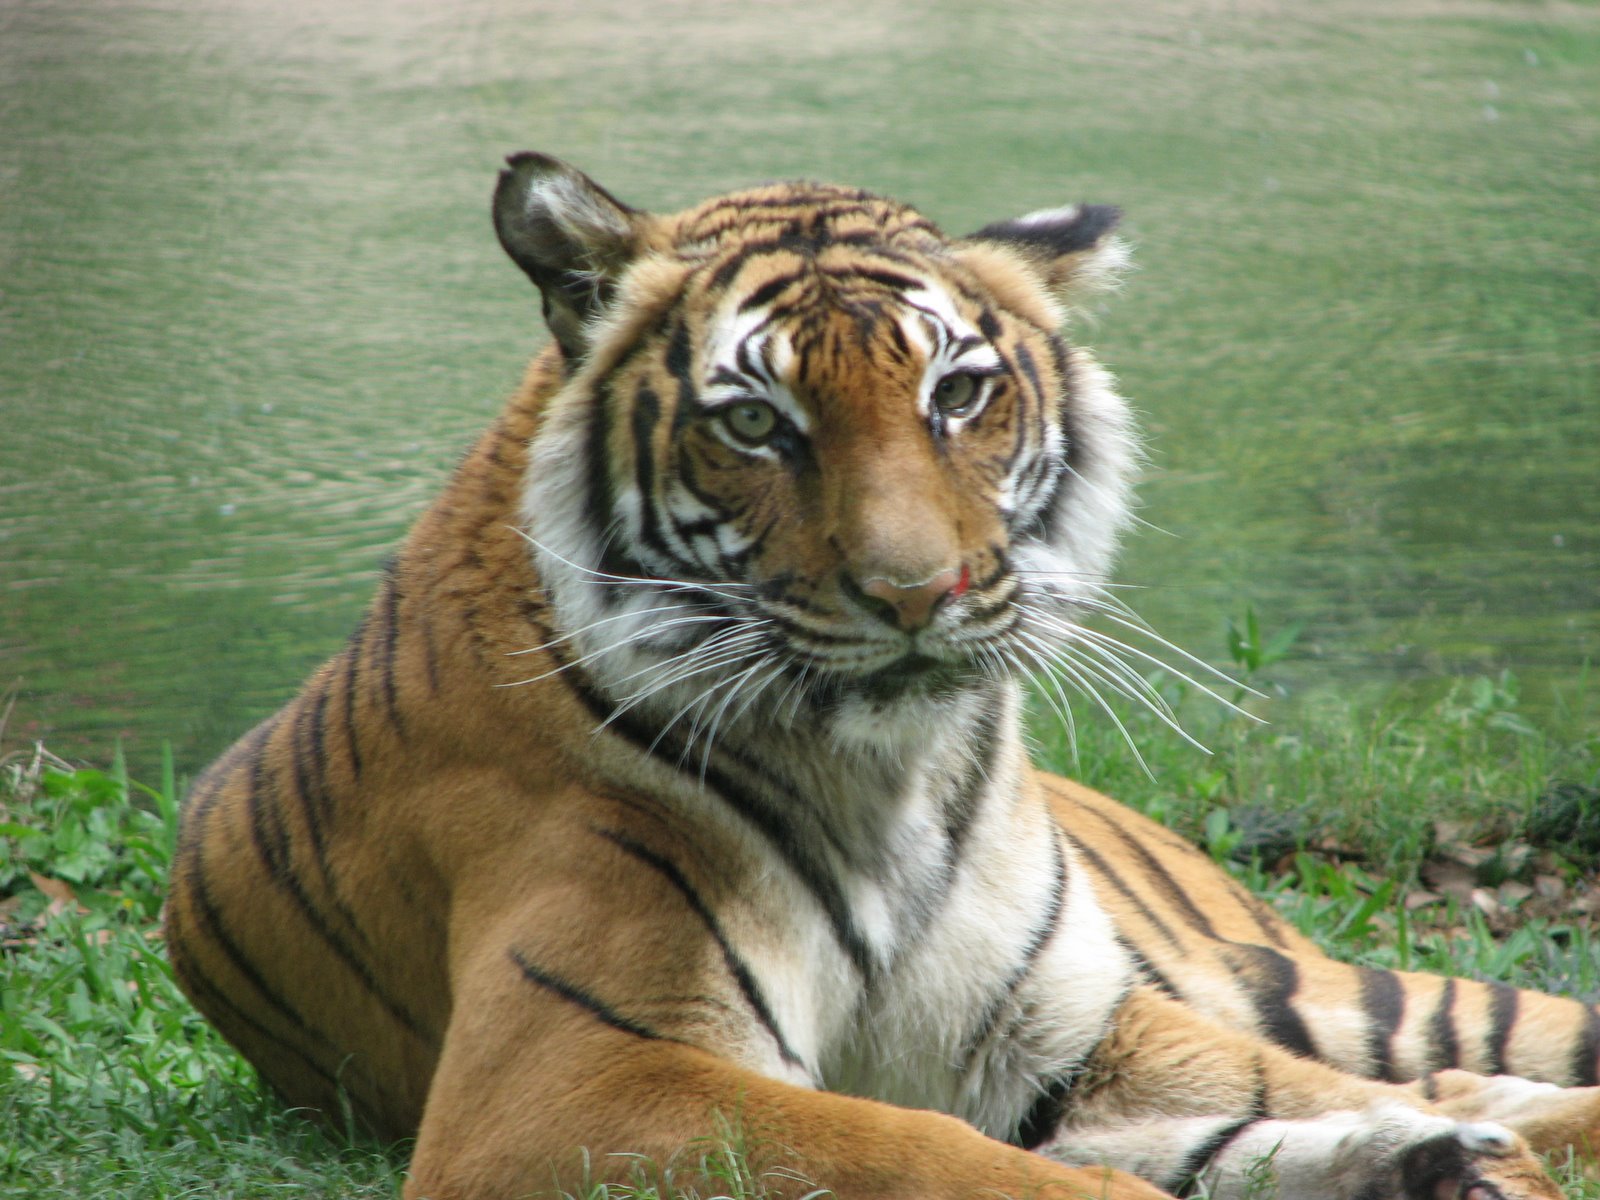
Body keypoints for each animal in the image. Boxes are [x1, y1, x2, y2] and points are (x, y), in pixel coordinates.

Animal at [164, 152, 1600, 1200]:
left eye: (958, 397)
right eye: (755, 423)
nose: (918, 594)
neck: (887, 778)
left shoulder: (1078, 1031)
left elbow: (1264, 1103)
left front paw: (1443, 1158)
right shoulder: (563, 1082)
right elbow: (931, 1154)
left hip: (1295, 981)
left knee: (1459, 1061)